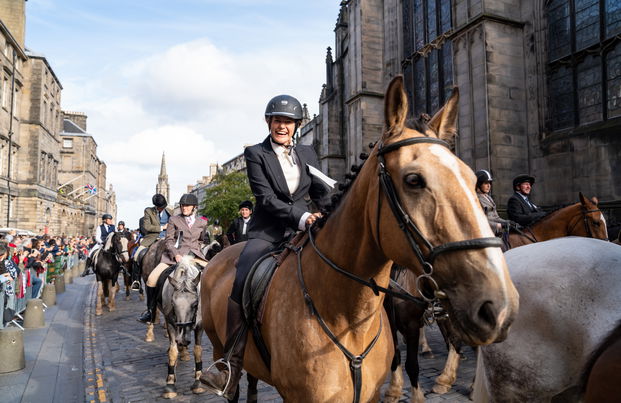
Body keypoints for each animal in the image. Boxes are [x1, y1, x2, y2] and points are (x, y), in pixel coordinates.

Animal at [158, 256, 206, 399]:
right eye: (173, 304)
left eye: (195, 304)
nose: (182, 339)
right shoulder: (171, 325)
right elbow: (173, 352)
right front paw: (170, 384)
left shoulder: (200, 326)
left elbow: (198, 351)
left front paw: (198, 382)